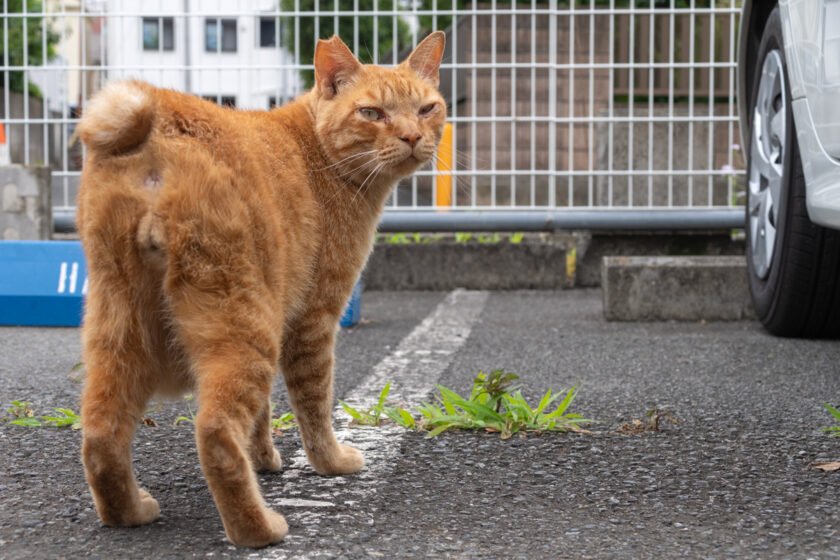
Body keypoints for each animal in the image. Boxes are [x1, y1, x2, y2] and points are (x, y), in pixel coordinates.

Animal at [74, 31, 446, 548]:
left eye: (427, 108)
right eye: (372, 113)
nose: (412, 136)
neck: (320, 158)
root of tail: (156, 122)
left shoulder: (282, 305)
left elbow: (265, 412)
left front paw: (265, 459)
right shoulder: (313, 319)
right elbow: (314, 407)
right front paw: (331, 463)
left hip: (120, 328)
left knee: (101, 434)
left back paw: (128, 512)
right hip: (243, 321)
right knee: (215, 434)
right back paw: (260, 530)